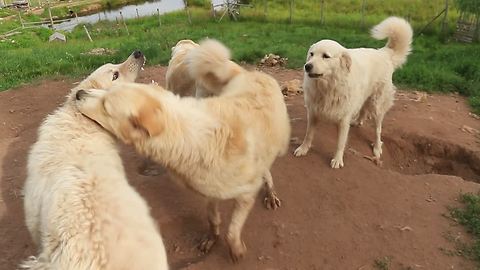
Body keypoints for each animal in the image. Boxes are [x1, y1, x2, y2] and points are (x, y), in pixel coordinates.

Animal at [74, 39, 290, 262]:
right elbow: (213, 219)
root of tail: (249, 74)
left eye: (106, 106)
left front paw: (236, 250)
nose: (78, 94)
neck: (191, 138)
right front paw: (211, 239)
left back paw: (270, 193)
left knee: (266, 171)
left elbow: (232, 231)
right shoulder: (210, 193)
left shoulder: (246, 195)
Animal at [292, 15, 412, 168]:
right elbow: (308, 135)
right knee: (363, 110)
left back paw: (377, 147)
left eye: (326, 56)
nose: (307, 66)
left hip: (377, 106)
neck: (328, 87)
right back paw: (357, 122)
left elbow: (340, 143)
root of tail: (383, 52)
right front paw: (303, 149)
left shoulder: (343, 119)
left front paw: (337, 160)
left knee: (378, 129)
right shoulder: (313, 112)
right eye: (311, 54)